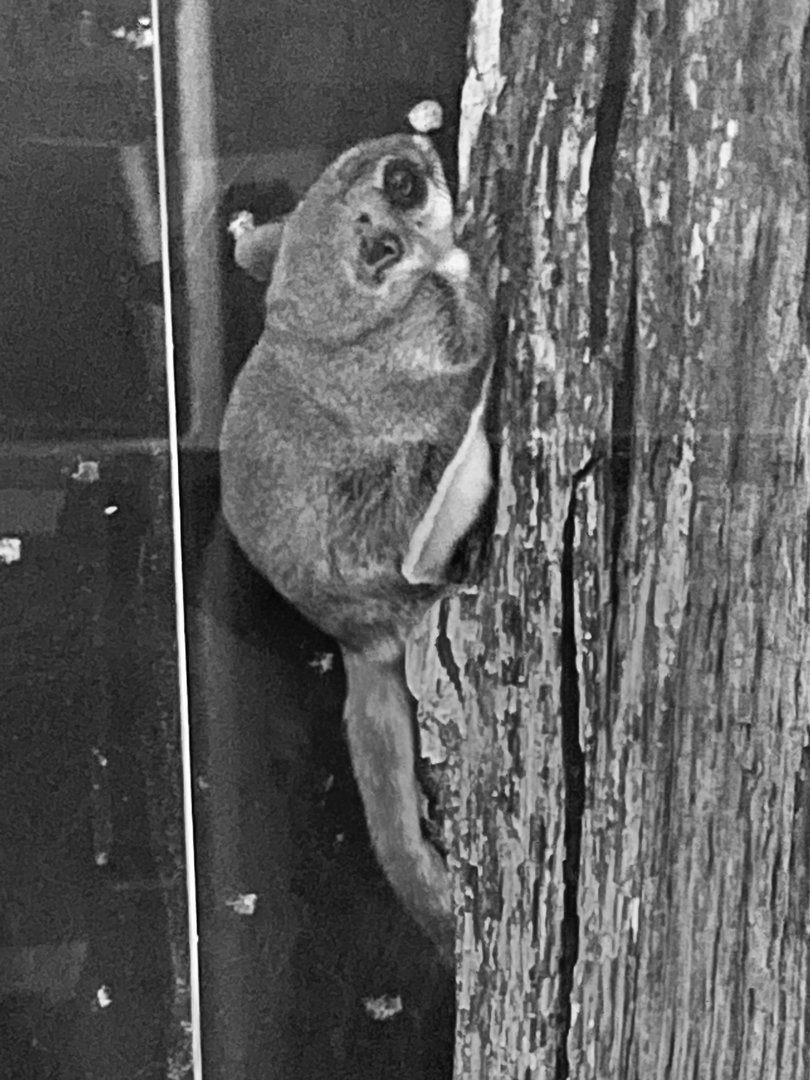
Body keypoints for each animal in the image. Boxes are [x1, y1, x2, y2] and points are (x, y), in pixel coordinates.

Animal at [220, 133, 493, 965]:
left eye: (370, 172)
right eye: (396, 193)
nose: (411, 153)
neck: (320, 323)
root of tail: (355, 633)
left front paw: (247, 238)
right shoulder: (419, 334)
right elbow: (469, 323)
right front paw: (473, 250)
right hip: (407, 509)